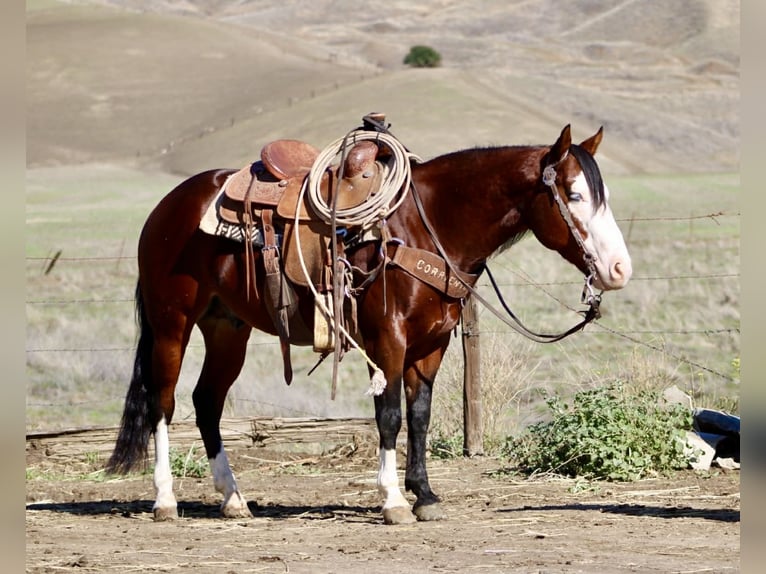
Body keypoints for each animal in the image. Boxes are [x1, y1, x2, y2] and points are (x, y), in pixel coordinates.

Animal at [106, 120, 632, 525]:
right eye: (574, 194)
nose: (619, 269)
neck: (424, 227)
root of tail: (167, 207)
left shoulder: (432, 344)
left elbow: (419, 416)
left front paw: (426, 496)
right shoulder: (388, 341)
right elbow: (390, 415)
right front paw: (394, 500)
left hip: (226, 328)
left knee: (206, 402)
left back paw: (234, 499)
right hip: (172, 323)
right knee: (163, 402)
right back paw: (165, 501)